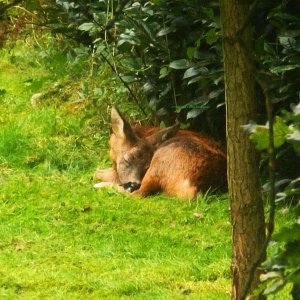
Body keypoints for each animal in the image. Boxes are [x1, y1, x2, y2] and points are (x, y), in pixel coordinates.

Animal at [92, 106, 226, 200]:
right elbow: (96, 172)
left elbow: (96, 173)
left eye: (146, 166)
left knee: (138, 194)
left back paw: (99, 185)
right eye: (127, 159)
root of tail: (192, 187)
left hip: (162, 157)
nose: (134, 184)